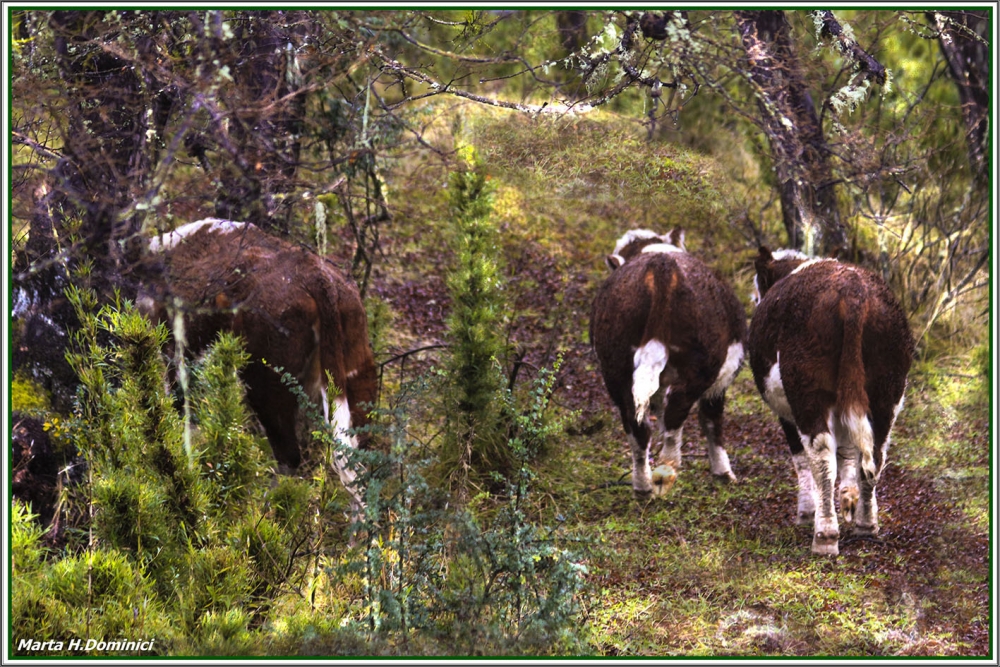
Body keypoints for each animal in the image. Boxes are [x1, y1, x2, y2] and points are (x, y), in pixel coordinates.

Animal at [137, 222, 378, 516]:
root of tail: (319, 278)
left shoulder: (174, 354)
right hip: (357, 376)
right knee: (361, 469)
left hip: (268, 382)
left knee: (289, 456)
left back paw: (262, 512)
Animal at [588, 232, 748, 498]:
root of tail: (661, 268)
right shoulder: (723, 376)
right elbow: (711, 419)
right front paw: (723, 472)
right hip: (701, 366)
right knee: (677, 410)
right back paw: (666, 470)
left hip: (615, 366)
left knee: (636, 423)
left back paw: (643, 486)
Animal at [752, 248, 916, 556]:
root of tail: (853, 293)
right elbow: (850, 453)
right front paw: (848, 498)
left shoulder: (786, 413)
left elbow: (802, 459)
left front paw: (806, 513)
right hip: (887, 389)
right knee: (875, 454)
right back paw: (866, 525)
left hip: (807, 391)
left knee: (822, 456)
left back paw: (825, 535)